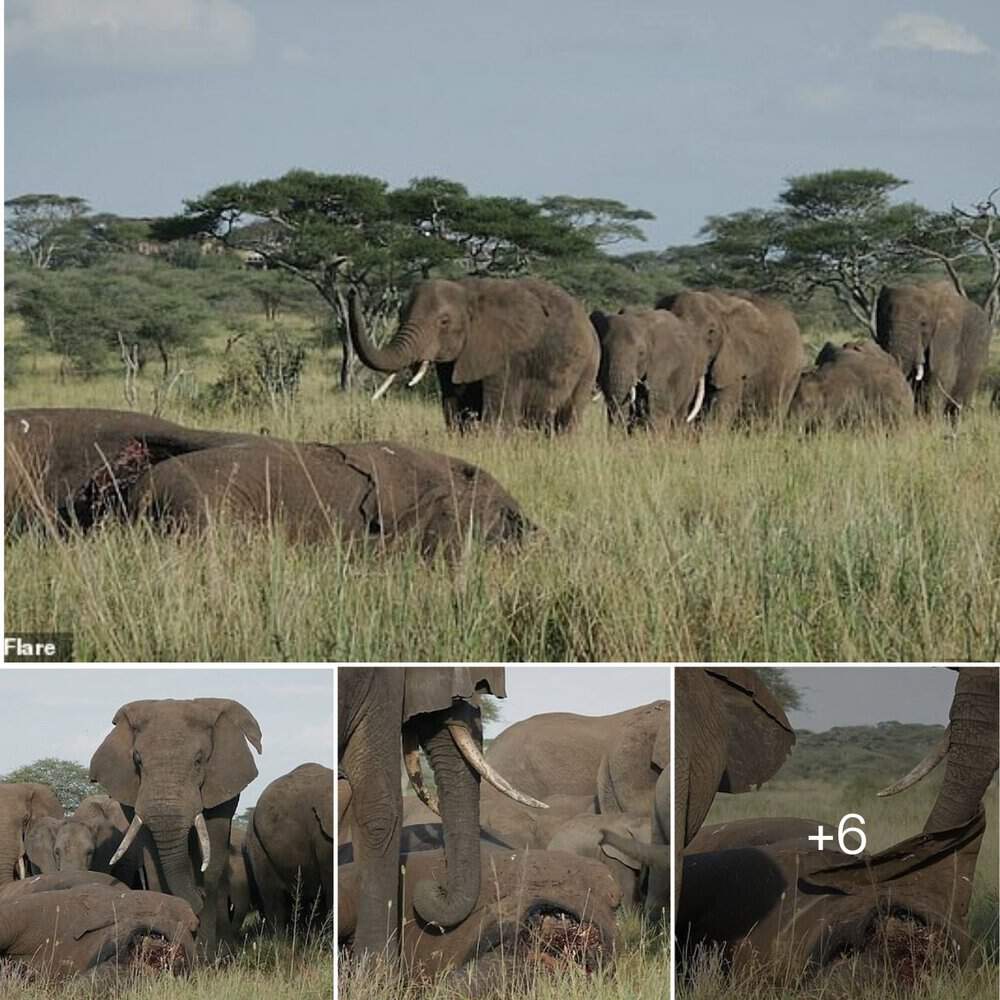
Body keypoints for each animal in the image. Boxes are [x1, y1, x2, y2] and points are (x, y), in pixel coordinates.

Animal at [89, 698, 262, 960]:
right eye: (138, 761)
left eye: (199, 761)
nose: (198, 898)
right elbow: (152, 859)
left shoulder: (220, 785)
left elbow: (212, 854)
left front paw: (205, 958)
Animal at [347, 278, 600, 432]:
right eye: (400, 314)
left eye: (444, 322)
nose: (352, 291)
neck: (467, 293)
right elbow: (454, 410)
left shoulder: (507, 355)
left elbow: (498, 417)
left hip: (589, 367)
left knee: (566, 422)